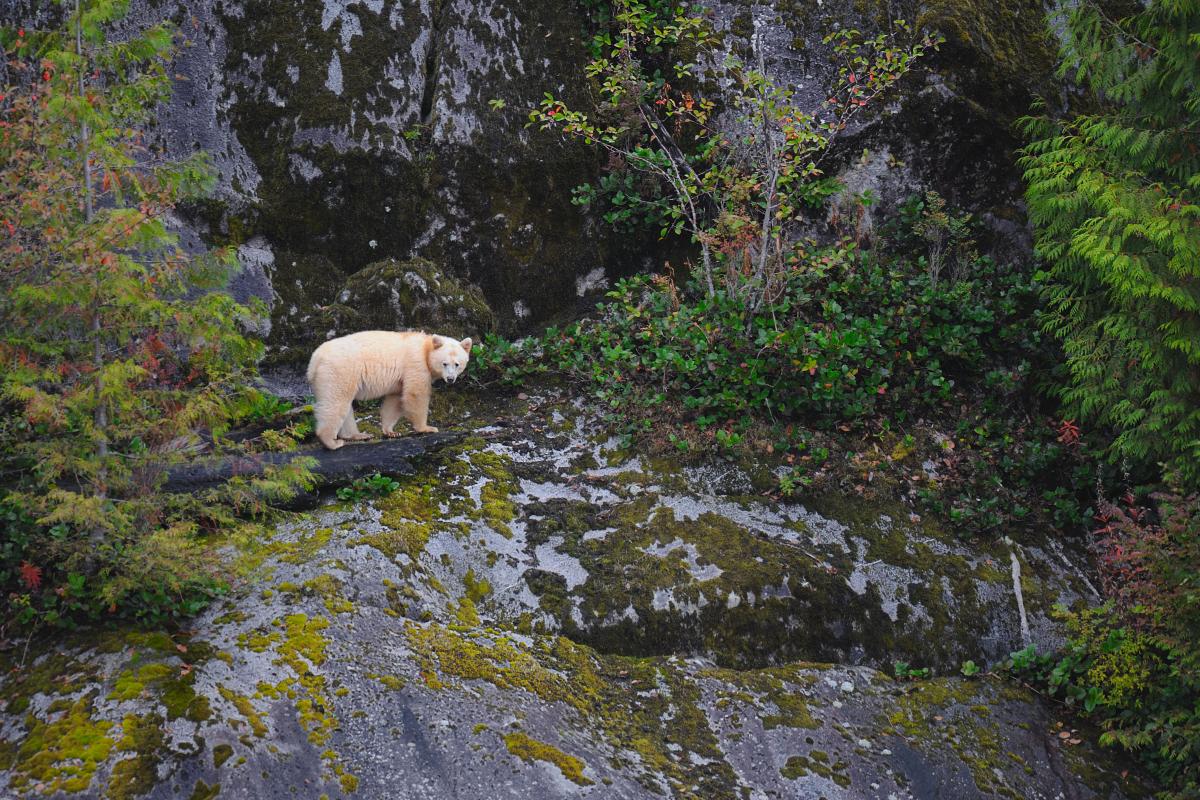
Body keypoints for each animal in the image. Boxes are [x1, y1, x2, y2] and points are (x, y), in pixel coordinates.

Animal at [306, 330, 472, 450]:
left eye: (457, 364)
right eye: (444, 363)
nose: (450, 379)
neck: (425, 348)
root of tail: (315, 359)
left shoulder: (400, 379)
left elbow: (395, 400)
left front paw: (391, 431)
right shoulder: (416, 364)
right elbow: (415, 394)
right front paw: (427, 428)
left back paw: (358, 435)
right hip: (340, 371)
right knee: (336, 402)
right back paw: (331, 442)